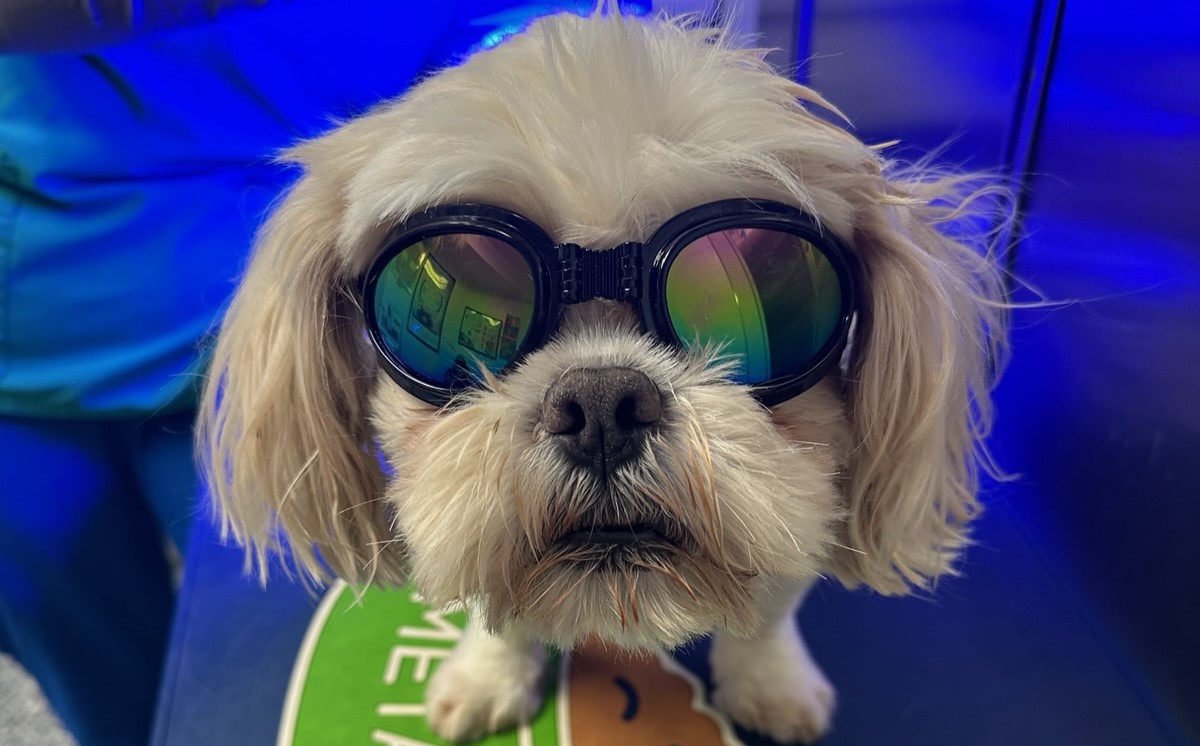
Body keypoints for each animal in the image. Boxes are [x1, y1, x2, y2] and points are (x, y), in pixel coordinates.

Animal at [196, 8, 1003, 743]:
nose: (602, 402)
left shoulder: (801, 502)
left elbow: (770, 607)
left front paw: (770, 680)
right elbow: (493, 606)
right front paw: (488, 675)